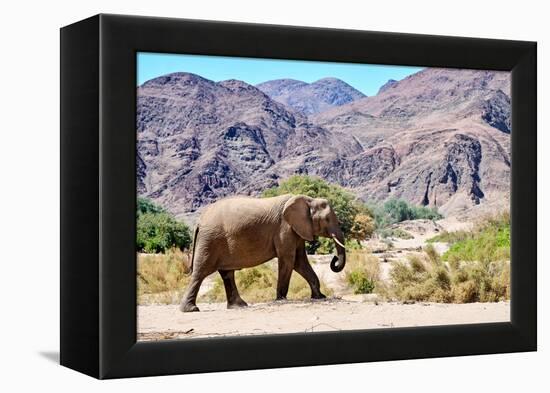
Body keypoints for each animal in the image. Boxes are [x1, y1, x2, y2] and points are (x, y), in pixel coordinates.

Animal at [179, 194, 348, 312]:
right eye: (327, 219)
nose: (334, 259)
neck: (308, 199)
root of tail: (199, 221)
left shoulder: (297, 230)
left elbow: (300, 261)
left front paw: (319, 297)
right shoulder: (285, 228)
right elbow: (289, 259)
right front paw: (281, 299)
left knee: (227, 273)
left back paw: (239, 306)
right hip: (210, 240)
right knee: (201, 272)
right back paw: (191, 309)